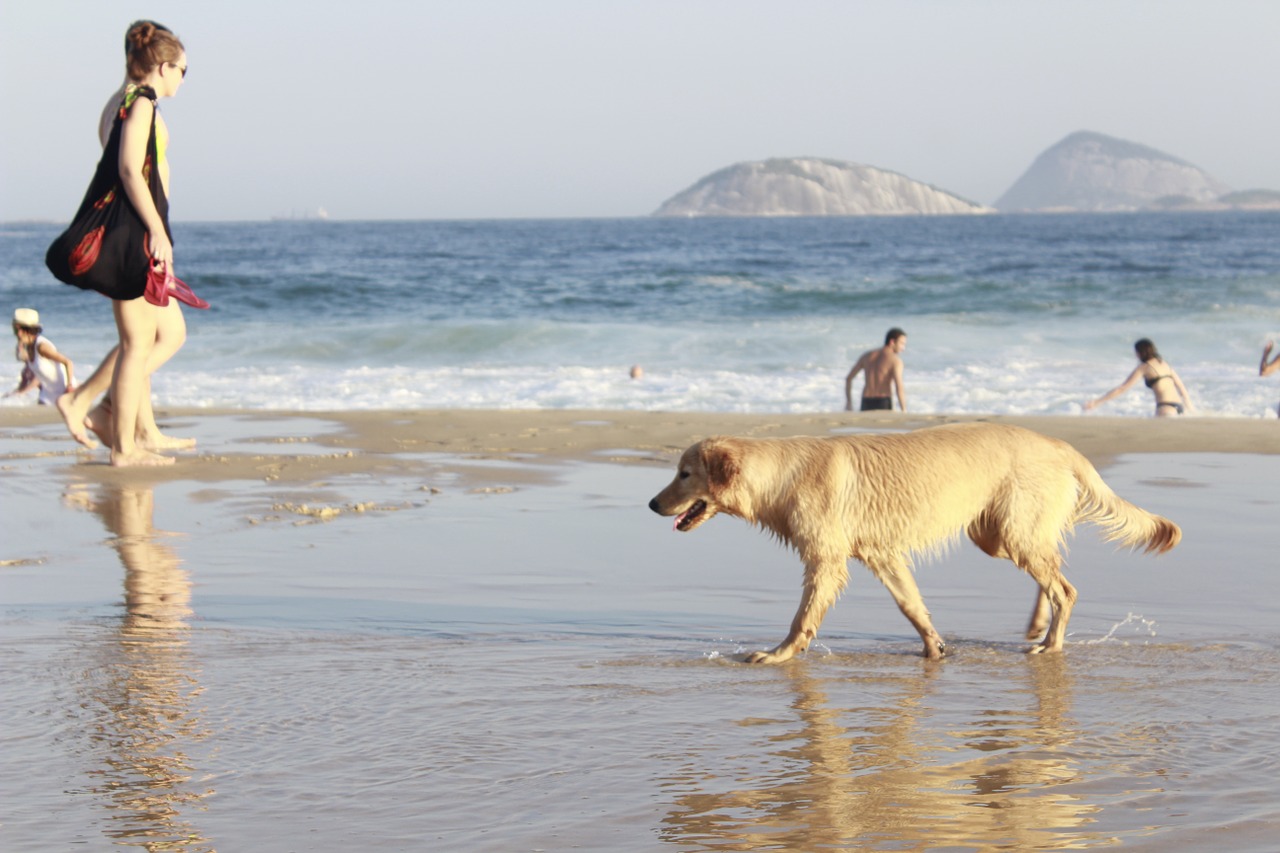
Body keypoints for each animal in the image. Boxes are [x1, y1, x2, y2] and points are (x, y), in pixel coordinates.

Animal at [650, 422, 1177, 660]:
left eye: (684, 474)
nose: (653, 504)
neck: (782, 476)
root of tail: (1060, 444)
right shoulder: (882, 554)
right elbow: (912, 606)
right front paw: (934, 648)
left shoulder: (826, 561)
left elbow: (802, 619)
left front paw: (777, 654)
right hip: (997, 534)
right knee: (1051, 576)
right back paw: (1036, 626)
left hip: (1012, 530)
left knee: (1064, 587)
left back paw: (1050, 644)